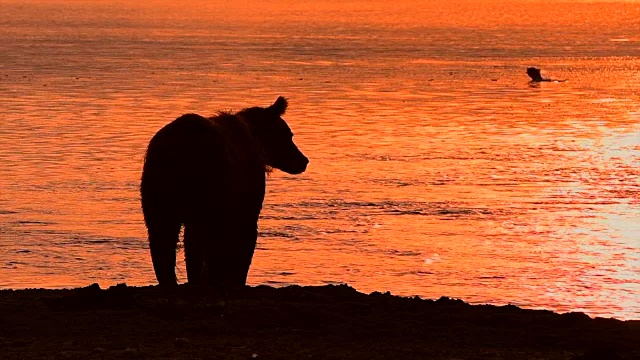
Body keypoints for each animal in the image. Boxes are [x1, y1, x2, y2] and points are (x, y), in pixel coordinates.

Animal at [141, 97, 310, 292]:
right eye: (289, 134)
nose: (304, 160)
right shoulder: (243, 190)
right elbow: (242, 234)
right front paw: (232, 278)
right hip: (206, 178)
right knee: (197, 234)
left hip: (159, 184)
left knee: (161, 233)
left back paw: (171, 282)